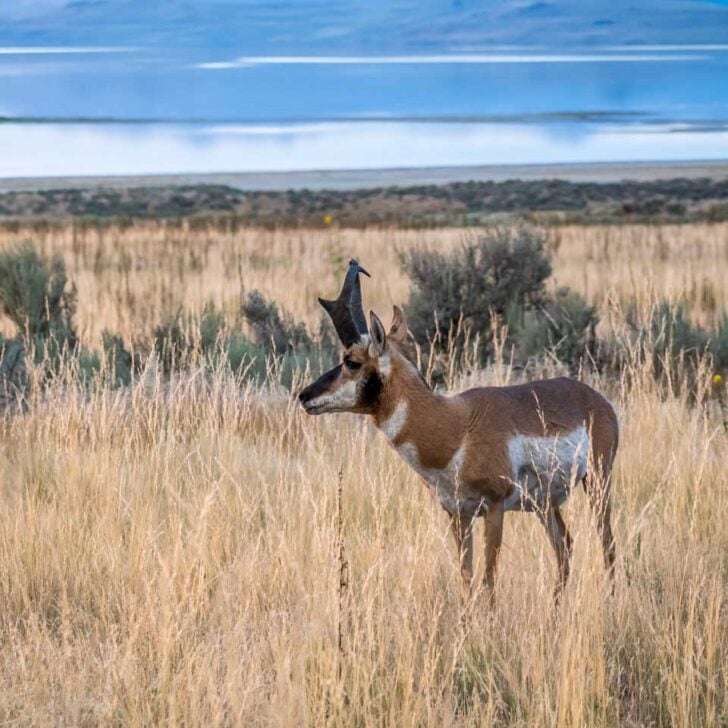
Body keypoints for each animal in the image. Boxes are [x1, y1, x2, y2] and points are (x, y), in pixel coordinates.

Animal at [298, 260, 618, 602]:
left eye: (352, 361)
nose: (304, 396)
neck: (454, 426)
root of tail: (597, 400)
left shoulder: (494, 508)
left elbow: (488, 583)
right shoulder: (458, 515)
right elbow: (466, 579)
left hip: (597, 483)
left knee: (607, 544)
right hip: (544, 504)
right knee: (565, 546)